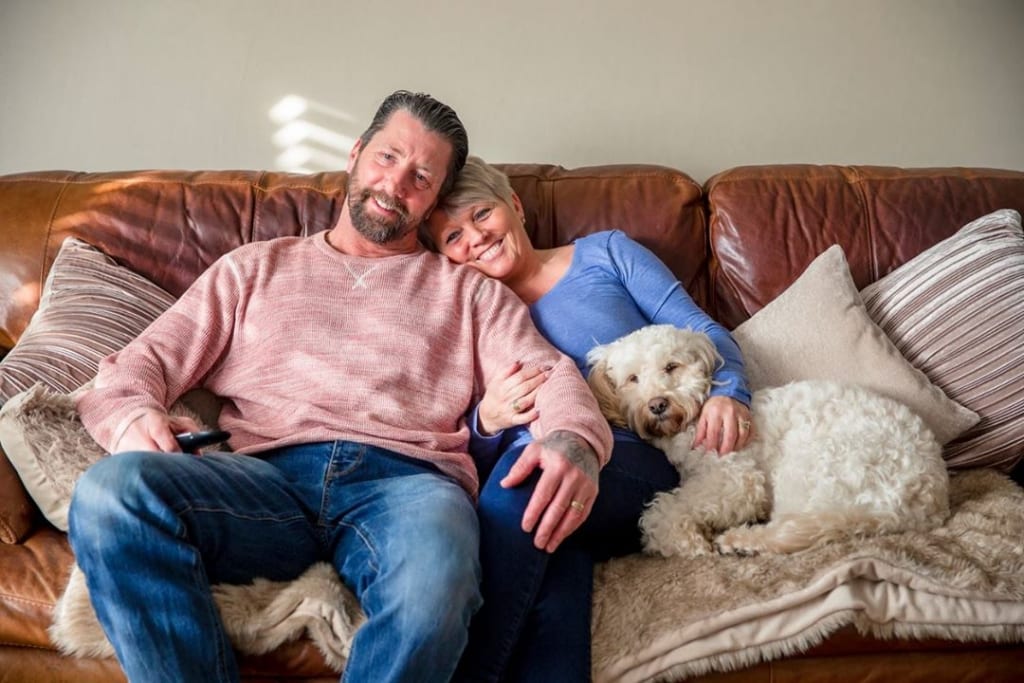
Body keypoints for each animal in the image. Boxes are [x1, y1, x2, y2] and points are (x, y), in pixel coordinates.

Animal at [585, 325, 950, 557]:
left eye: (671, 366)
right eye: (632, 379)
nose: (657, 404)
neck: (691, 420)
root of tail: (926, 497)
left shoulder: (735, 479)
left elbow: (666, 509)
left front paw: (681, 539)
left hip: (810, 465)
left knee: (793, 529)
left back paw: (740, 540)